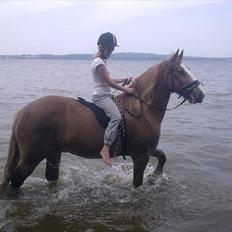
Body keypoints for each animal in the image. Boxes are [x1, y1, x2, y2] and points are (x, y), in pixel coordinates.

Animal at [0, 49, 204, 192]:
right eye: (180, 71)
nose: (200, 94)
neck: (141, 112)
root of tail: (22, 112)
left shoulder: (148, 150)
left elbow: (162, 156)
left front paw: (155, 176)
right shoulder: (141, 155)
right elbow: (137, 183)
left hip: (52, 152)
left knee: (50, 177)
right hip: (32, 156)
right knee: (16, 180)